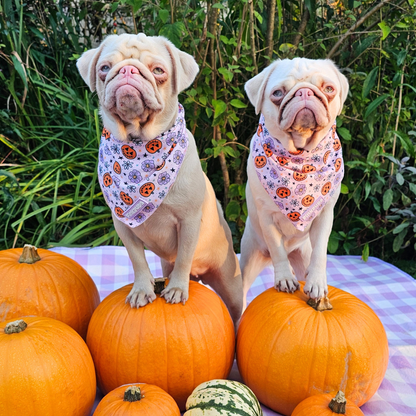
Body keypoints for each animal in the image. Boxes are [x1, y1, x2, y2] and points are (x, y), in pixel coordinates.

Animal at [76, 34, 242, 324]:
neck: (140, 147)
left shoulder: (189, 222)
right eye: (104, 68)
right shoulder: (123, 226)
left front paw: (176, 288)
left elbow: (185, 256)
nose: (128, 71)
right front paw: (143, 290)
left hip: (229, 282)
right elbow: (138, 260)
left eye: (158, 71)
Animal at [239, 57, 350, 308]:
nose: (305, 92)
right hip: (250, 257)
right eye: (278, 93)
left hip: (302, 255)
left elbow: (320, 253)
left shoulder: (324, 216)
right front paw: (284, 279)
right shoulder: (267, 217)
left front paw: (317, 283)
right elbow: (277, 249)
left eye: (329, 89)